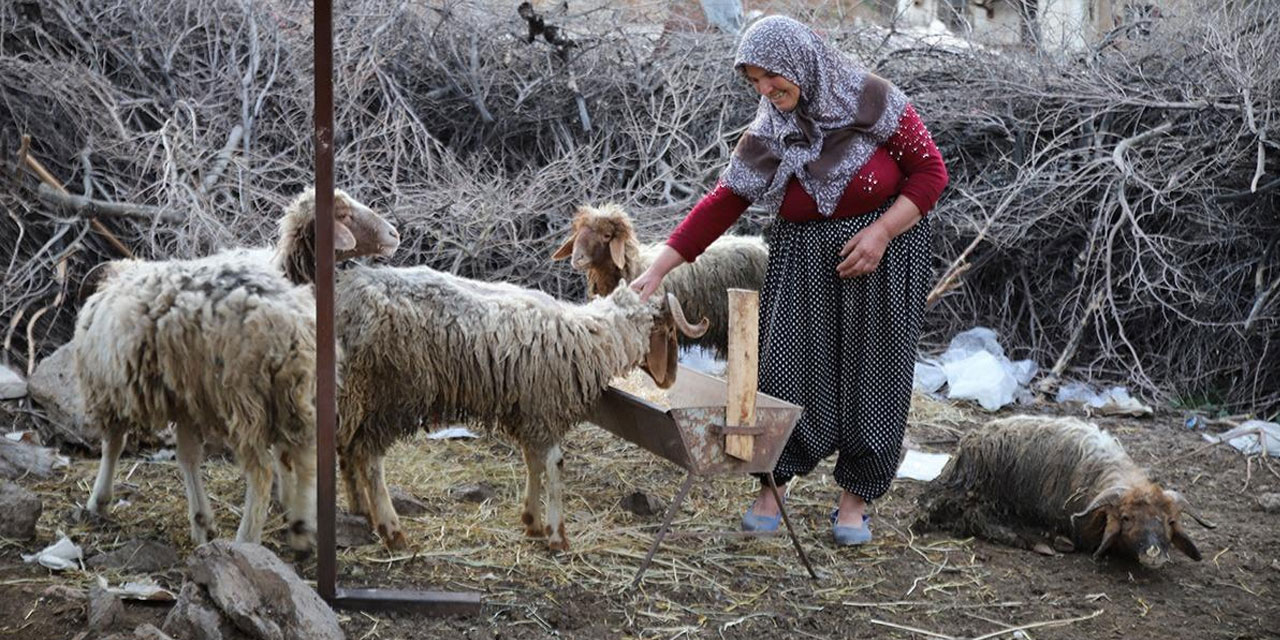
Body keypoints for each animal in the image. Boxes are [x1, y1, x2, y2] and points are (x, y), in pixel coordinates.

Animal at [77, 186, 396, 550]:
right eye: (343, 214)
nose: (394, 234)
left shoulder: (113, 389)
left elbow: (114, 445)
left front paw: (98, 500)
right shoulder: (186, 397)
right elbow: (187, 456)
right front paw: (205, 521)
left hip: (246, 398)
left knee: (263, 469)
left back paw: (249, 538)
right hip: (283, 393)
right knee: (302, 454)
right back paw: (300, 527)